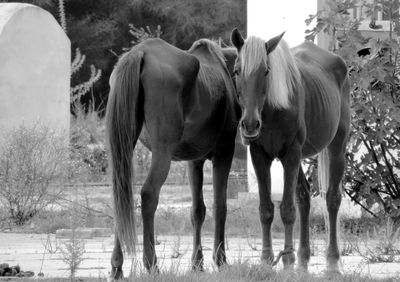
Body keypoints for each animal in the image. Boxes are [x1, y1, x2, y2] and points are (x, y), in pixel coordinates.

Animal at [104, 37, 239, 278]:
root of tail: (140, 53)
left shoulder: (194, 161)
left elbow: (198, 210)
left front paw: (197, 262)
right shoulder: (224, 153)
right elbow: (220, 205)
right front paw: (220, 260)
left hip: (125, 143)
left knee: (121, 195)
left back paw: (117, 266)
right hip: (163, 150)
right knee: (148, 194)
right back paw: (151, 263)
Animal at [231, 27, 350, 272]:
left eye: (266, 71)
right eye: (237, 71)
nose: (249, 124)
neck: (271, 111)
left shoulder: (291, 155)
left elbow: (287, 209)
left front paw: (286, 260)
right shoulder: (260, 156)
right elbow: (266, 209)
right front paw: (268, 259)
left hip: (336, 148)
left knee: (332, 200)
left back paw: (332, 261)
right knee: (304, 197)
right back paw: (303, 258)